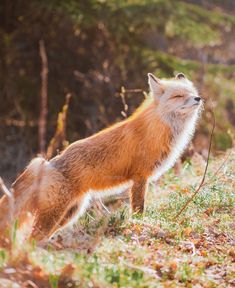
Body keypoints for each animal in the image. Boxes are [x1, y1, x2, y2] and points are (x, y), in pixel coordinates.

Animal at [0, 72, 202, 241]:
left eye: (192, 92)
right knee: (32, 238)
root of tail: (46, 164)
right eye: (178, 96)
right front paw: (139, 225)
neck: (159, 129)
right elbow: (138, 208)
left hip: (71, 213)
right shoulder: (140, 176)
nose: (198, 98)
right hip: (55, 214)